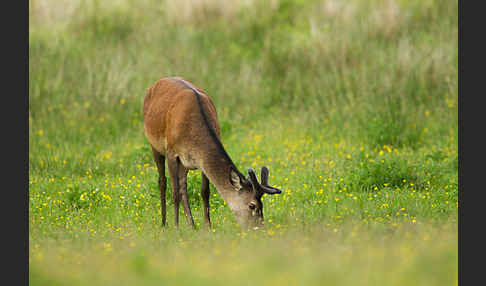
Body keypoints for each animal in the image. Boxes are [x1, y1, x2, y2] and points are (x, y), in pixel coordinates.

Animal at [141, 76, 280, 230]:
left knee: (183, 186)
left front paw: (208, 226)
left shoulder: (200, 160)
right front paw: (176, 227)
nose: (259, 228)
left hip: (184, 163)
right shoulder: (172, 152)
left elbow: (204, 191)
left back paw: (192, 225)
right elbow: (174, 192)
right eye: (252, 205)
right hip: (154, 144)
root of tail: (155, 84)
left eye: (262, 204)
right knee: (162, 181)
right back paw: (164, 223)